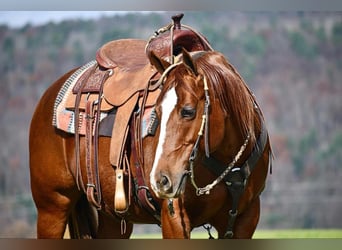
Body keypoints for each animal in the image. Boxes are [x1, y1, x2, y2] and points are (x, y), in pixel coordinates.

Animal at [29, 30, 272, 238]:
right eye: (156, 111)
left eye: (188, 111)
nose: (161, 179)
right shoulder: (174, 218)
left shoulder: (246, 219)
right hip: (52, 207)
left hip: (113, 218)